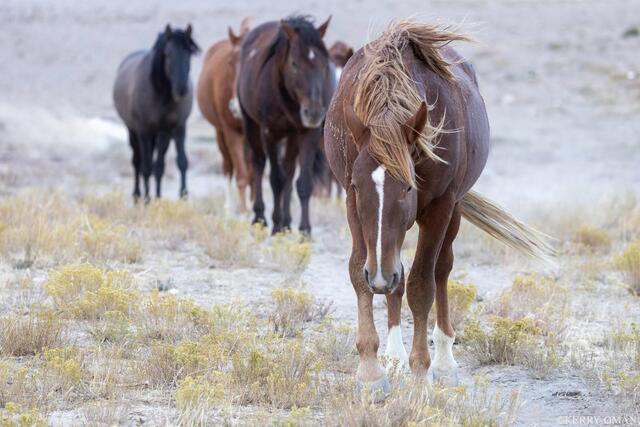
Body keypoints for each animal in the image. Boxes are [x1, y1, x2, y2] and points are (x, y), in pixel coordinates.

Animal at [113, 24, 199, 202]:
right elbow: (146, 168)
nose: (182, 89)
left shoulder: (176, 128)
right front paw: (147, 200)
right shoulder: (143, 131)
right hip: (133, 132)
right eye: (168, 54)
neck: (162, 96)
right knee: (137, 162)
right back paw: (137, 196)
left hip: (160, 135)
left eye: (189, 53)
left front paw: (180, 196)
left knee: (156, 165)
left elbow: (177, 163)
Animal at [197, 18, 254, 214]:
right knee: (228, 166)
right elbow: (242, 175)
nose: (236, 106)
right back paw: (229, 208)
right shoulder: (231, 132)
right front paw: (244, 213)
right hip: (220, 131)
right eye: (230, 62)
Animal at [237, 15, 334, 235]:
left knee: (289, 170)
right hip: (251, 124)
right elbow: (275, 179)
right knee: (259, 163)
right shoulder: (270, 133)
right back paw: (261, 217)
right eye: (294, 63)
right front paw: (276, 224)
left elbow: (303, 182)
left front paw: (305, 230)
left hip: (292, 136)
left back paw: (288, 222)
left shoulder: (307, 133)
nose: (314, 112)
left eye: (324, 64)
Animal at [324, 20, 554, 397]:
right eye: (358, 186)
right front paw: (371, 371)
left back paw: (444, 361)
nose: (380, 276)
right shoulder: (352, 207)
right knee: (396, 280)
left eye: (408, 186)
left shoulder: (440, 208)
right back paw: (394, 357)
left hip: (454, 210)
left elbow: (422, 284)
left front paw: (421, 371)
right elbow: (360, 273)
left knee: (440, 270)